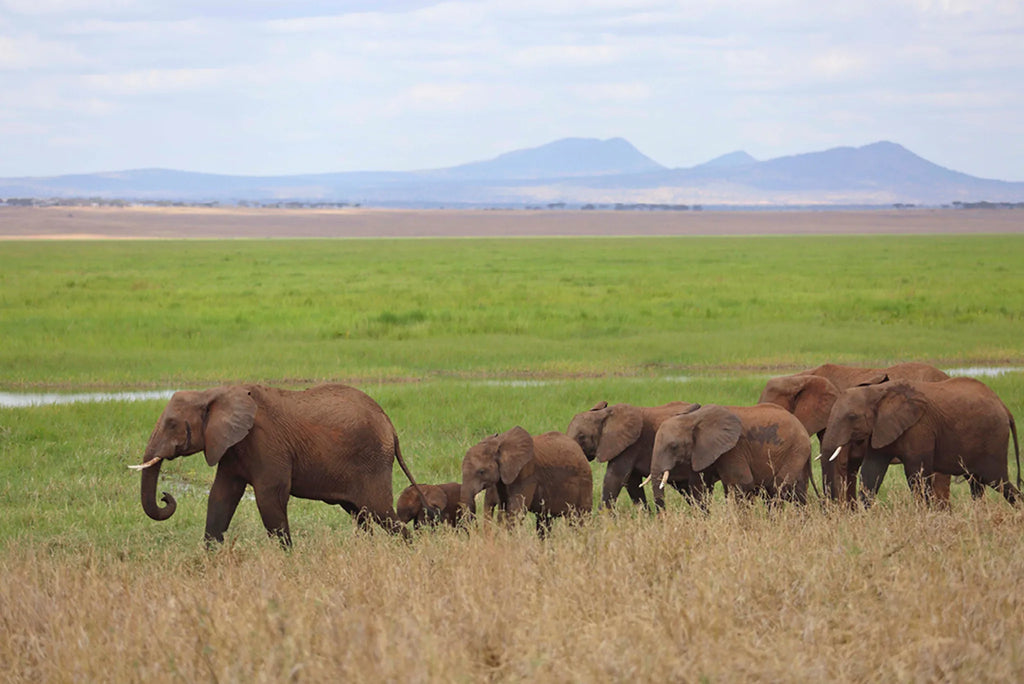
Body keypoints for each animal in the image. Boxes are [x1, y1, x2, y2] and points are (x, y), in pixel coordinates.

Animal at [134, 383, 428, 546]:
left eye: (172, 424)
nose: (165, 496)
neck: (214, 393)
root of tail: (389, 424)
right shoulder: (231, 446)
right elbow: (220, 497)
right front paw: (210, 559)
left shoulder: (265, 442)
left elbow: (269, 497)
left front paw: (288, 560)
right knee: (362, 515)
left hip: (372, 461)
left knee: (381, 513)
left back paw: (407, 553)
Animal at [460, 427, 592, 533]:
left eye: (481, 471)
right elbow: (502, 508)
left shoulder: (526, 474)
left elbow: (515, 512)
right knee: (544, 522)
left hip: (585, 483)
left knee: (580, 519)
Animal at [650, 404, 812, 503]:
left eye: (674, 446)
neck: (694, 417)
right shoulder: (705, 452)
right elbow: (702, 488)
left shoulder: (733, 449)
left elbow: (742, 485)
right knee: (797, 492)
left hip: (796, 449)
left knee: (778, 488)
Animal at [819, 378, 1021, 506]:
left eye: (852, 417)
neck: (876, 391)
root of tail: (1004, 407)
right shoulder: (881, 429)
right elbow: (871, 471)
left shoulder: (919, 427)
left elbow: (916, 474)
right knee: (977, 484)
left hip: (993, 440)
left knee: (998, 481)